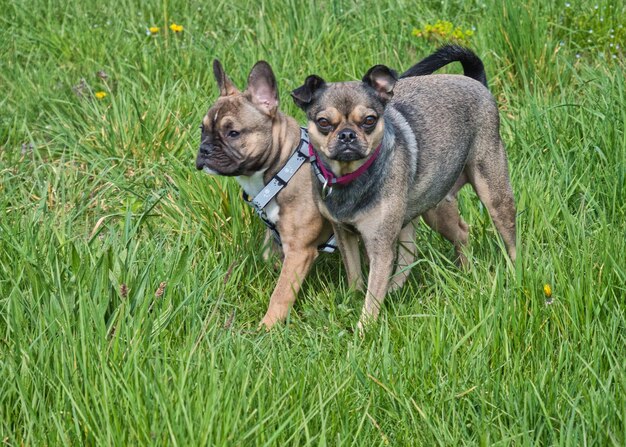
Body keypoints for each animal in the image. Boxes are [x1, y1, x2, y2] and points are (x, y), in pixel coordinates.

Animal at [195, 47, 492, 328]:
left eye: (233, 133)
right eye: (202, 129)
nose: (205, 149)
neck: (283, 166)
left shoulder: (299, 251)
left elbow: (280, 293)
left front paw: (267, 326)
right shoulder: (277, 239)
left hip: (436, 208)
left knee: (460, 233)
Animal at [290, 47, 516, 330]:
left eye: (369, 120)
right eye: (323, 122)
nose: (347, 135)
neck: (351, 176)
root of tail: (476, 82)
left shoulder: (380, 247)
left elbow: (372, 298)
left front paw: (364, 330)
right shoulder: (345, 235)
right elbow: (355, 276)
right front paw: (354, 298)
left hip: (494, 193)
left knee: (510, 239)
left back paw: (517, 272)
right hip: (434, 207)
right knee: (459, 235)